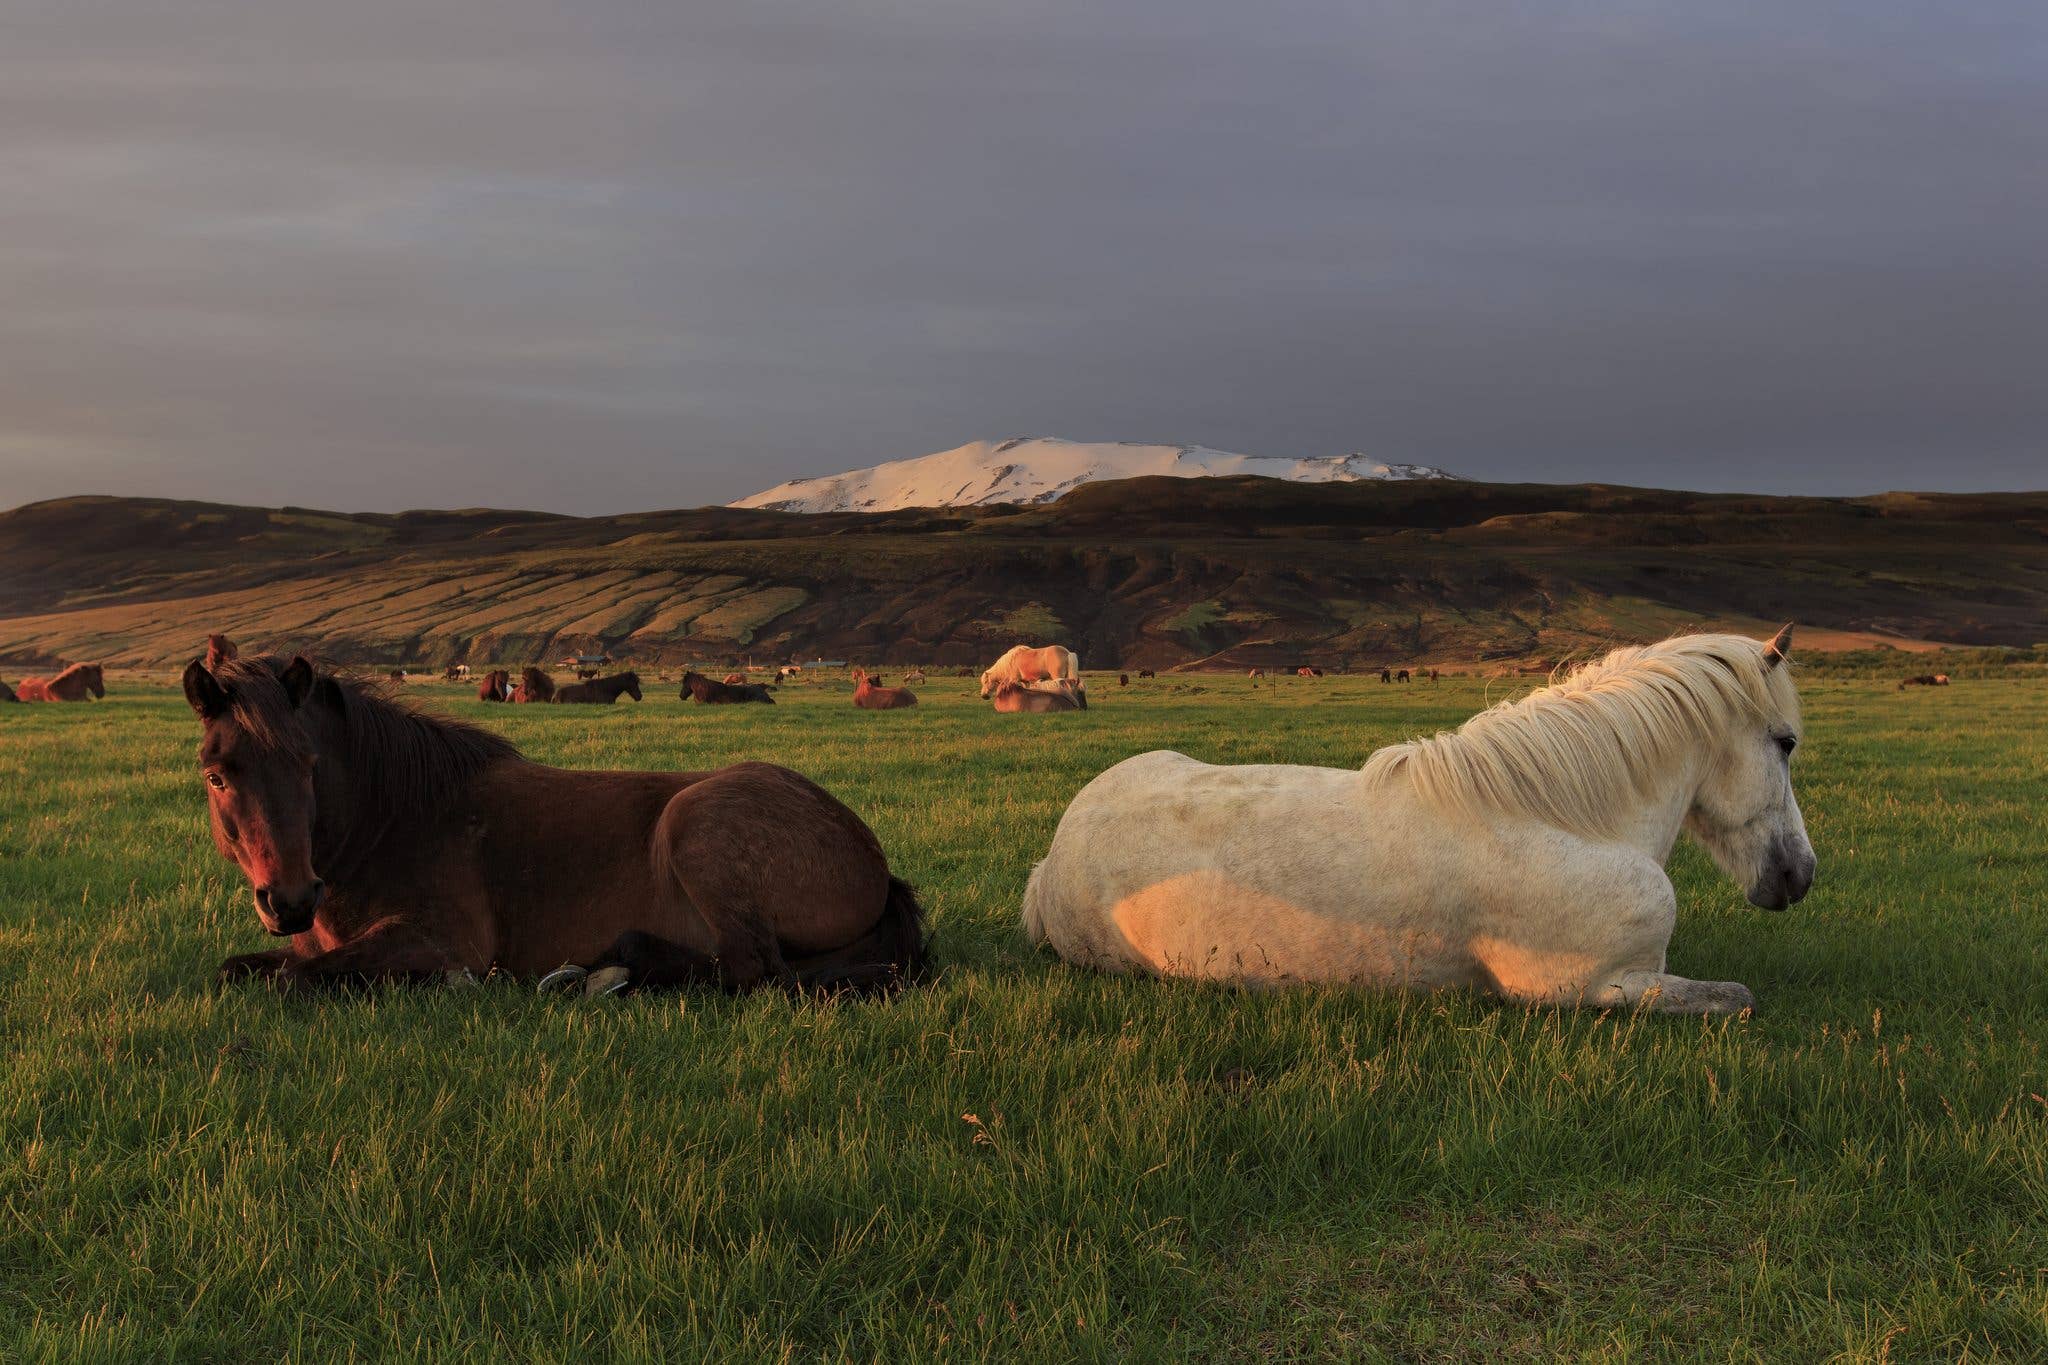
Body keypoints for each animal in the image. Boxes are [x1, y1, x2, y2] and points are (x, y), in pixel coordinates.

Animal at [181, 653, 927, 995]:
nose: (290, 901)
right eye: (217, 774)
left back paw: (619, 965)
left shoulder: (439, 941)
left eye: (307, 764)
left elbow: (296, 977)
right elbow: (246, 968)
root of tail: (870, 854)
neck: (393, 821)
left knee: (751, 969)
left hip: (696, 826)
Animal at [1021, 627, 1813, 1016]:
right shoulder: (1595, 987)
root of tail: (1051, 856)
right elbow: (1737, 1000)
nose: (1799, 874)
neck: (1564, 819)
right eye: (1786, 742)